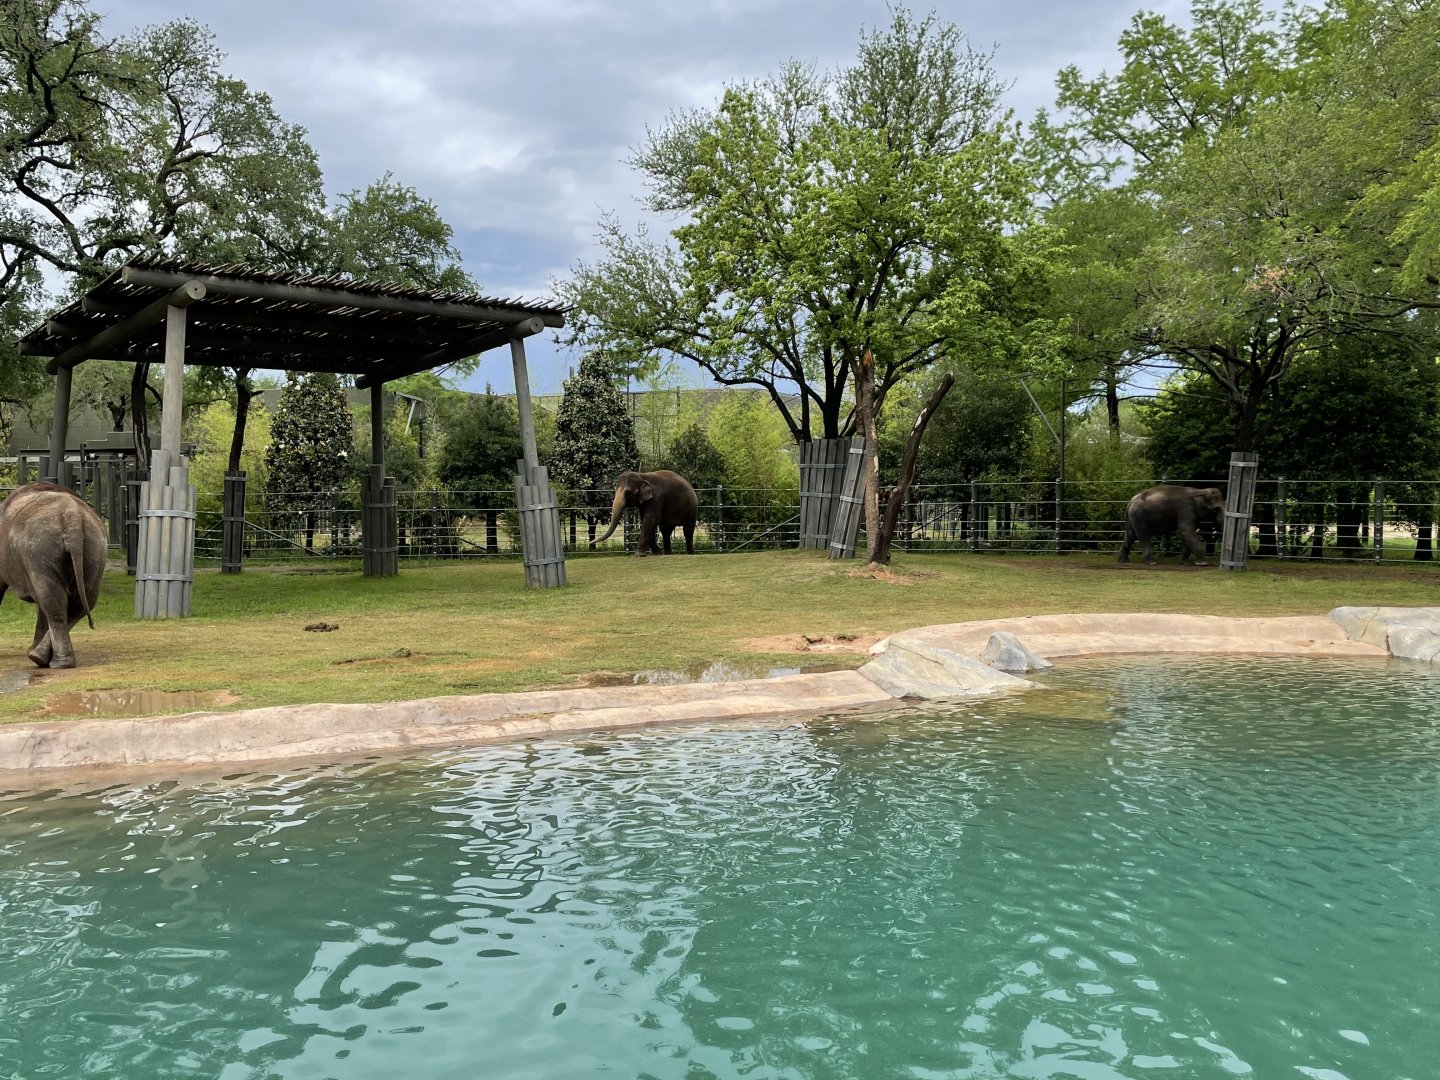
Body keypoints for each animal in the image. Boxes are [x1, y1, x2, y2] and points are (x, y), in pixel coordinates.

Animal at [0, 483, 106, 668]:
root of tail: (73, 517)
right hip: (94, 549)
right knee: (79, 601)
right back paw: (44, 657)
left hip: (40, 547)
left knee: (52, 599)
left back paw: (46, 660)